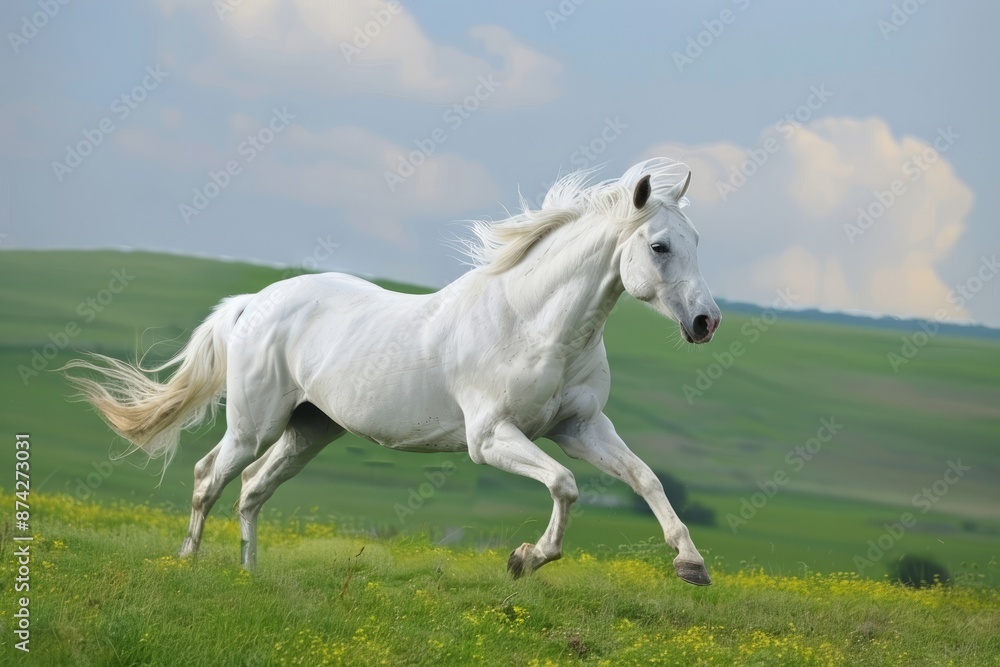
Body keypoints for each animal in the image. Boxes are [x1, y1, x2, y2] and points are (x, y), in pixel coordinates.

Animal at [66, 157, 722, 585]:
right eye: (660, 246)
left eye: (696, 240)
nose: (706, 321)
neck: (535, 325)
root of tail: (255, 302)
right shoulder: (491, 438)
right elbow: (564, 484)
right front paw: (523, 560)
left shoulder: (581, 428)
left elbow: (645, 480)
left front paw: (691, 564)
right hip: (254, 424)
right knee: (209, 477)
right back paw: (188, 563)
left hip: (309, 430)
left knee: (252, 488)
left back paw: (251, 575)